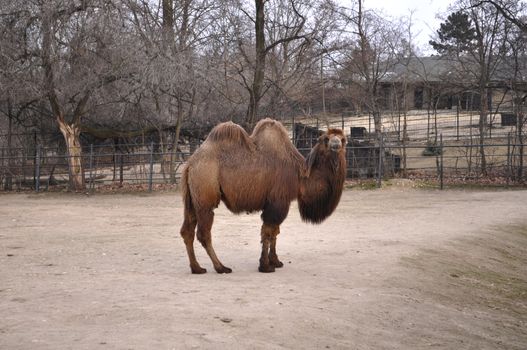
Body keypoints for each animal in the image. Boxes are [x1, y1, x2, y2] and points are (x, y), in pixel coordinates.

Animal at [179, 117, 348, 274]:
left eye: (343, 139)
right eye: (326, 139)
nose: (336, 144)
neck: (299, 175)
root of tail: (190, 164)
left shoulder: (279, 202)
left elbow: (275, 231)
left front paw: (276, 261)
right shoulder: (277, 202)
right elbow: (268, 231)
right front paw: (265, 266)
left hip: (192, 200)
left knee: (187, 231)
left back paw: (197, 268)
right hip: (205, 197)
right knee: (203, 233)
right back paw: (221, 267)